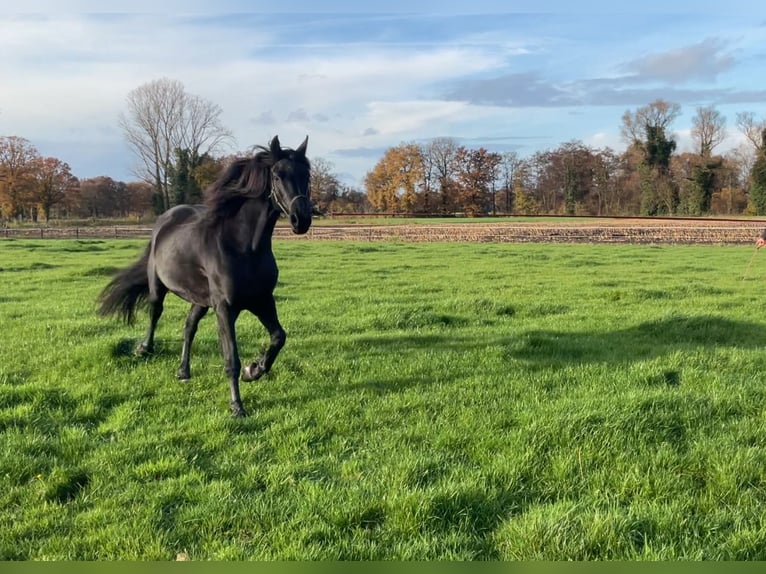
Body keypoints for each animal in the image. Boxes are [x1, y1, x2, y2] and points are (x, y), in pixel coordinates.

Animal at [98, 138, 312, 420]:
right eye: (278, 175)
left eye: (307, 175)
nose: (302, 219)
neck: (244, 246)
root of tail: (164, 221)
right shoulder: (225, 307)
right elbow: (231, 358)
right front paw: (237, 406)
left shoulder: (262, 301)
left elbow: (279, 337)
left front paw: (253, 370)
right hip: (159, 286)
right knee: (155, 312)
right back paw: (144, 348)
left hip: (200, 299)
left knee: (189, 327)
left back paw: (183, 371)